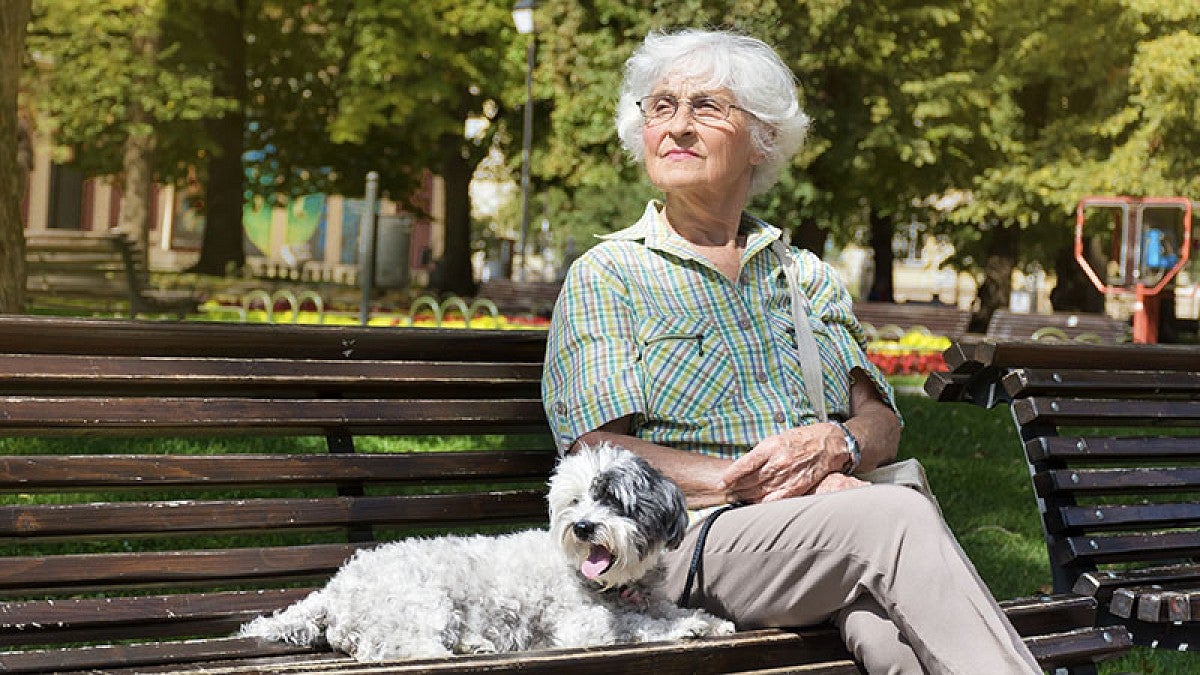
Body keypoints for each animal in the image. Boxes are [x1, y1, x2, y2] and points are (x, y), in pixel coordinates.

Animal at [237, 441, 729, 658]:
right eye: (575, 501)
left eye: (612, 499)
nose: (583, 527)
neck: (614, 588)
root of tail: (334, 588)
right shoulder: (581, 626)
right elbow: (634, 626)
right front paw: (685, 629)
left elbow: (666, 612)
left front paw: (706, 620)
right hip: (421, 601)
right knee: (390, 648)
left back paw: (474, 645)